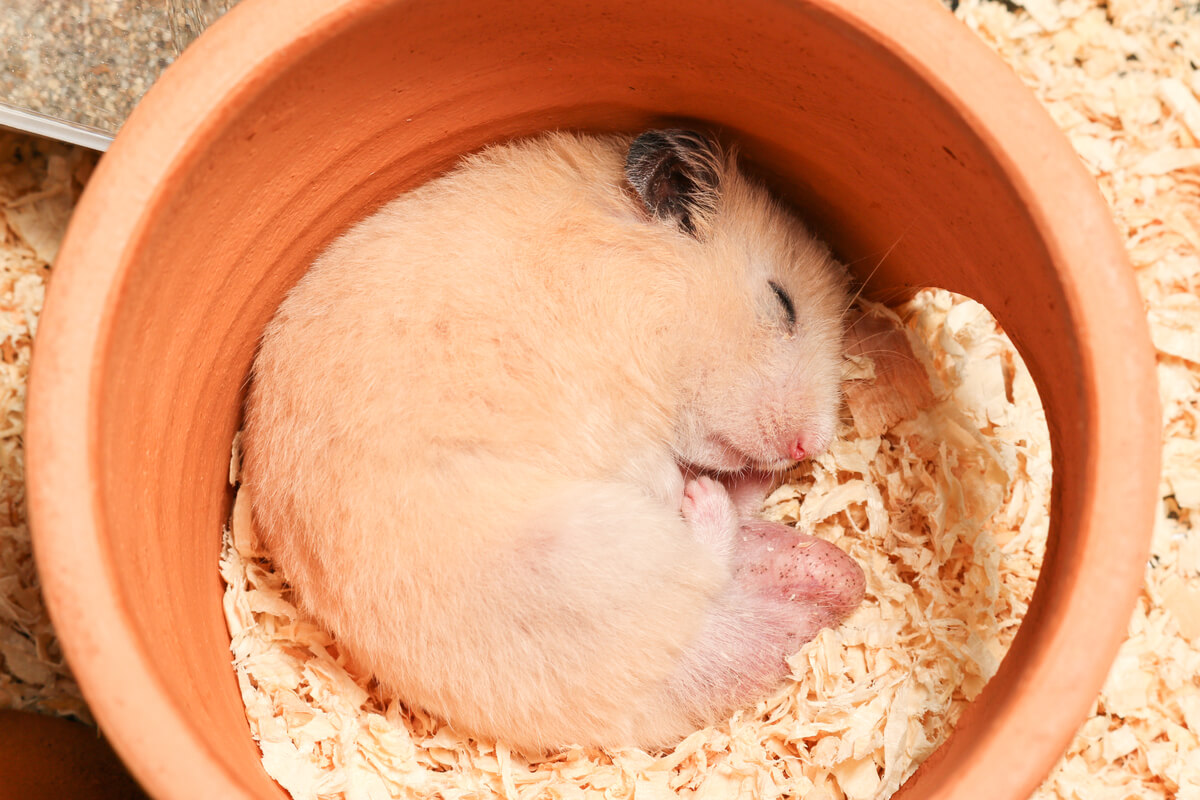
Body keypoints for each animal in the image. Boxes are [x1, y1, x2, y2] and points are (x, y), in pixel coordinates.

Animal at [241, 129, 865, 753]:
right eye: (783, 303)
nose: (808, 448)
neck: (640, 285)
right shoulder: (618, 412)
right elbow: (656, 469)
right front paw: (689, 483)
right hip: (589, 547)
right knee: (705, 562)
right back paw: (705, 498)